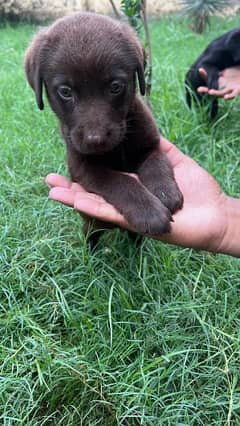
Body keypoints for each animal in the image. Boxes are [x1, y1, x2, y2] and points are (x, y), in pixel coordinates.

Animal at [24, 12, 184, 246]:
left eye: (115, 87)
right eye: (65, 91)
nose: (95, 139)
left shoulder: (151, 145)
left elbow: (156, 163)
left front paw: (165, 193)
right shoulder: (82, 166)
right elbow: (118, 180)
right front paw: (149, 212)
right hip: (90, 223)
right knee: (92, 233)